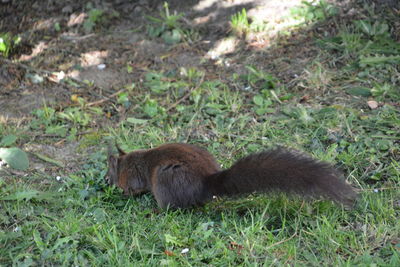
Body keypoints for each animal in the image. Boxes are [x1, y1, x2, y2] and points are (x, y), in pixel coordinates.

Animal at [106, 143, 356, 210]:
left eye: (109, 172)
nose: (106, 182)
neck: (128, 162)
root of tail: (205, 184)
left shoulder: (133, 177)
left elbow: (134, 187)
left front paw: (125, 193)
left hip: (164, 182)